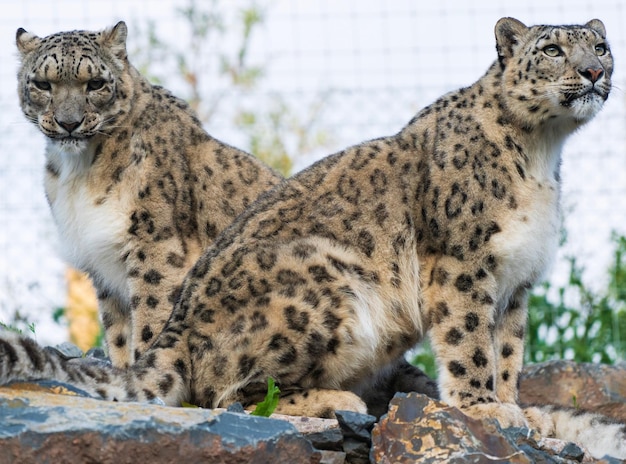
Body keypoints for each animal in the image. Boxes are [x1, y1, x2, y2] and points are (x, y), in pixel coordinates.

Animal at [2, 18, 620, 460]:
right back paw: (335, 398)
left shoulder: (515, 282)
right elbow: (469, 343)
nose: (593, 73)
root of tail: (185, 325)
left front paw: (517, 409)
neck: (542, 152)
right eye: (553, 50)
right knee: (227, 392)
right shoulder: (464, 263)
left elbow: (508, 352)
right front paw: (484, 409)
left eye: (601, 46)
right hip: (326, 282)